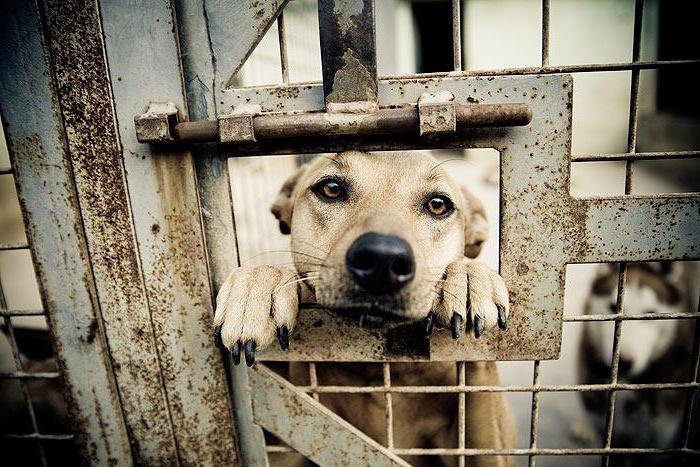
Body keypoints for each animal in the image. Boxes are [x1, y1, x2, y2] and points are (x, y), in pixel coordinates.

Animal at [213, 152, 516, 466]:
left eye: (438, 204)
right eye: (331, 188)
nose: (383, 259)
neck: (376, 372)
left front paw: (467, 278)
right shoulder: (286, 438)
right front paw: (258, 285)